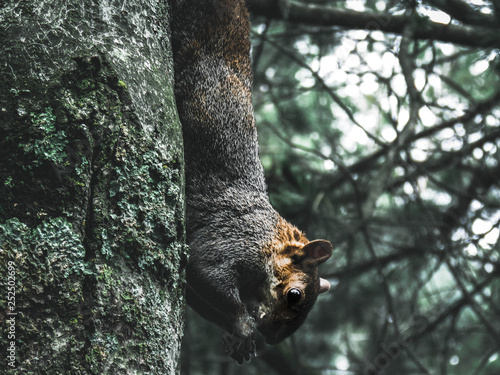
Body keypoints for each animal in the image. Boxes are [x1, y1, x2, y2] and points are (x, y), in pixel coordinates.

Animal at [171, 0, 332, 364]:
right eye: (294, 295)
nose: (273, 338)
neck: (271, 241)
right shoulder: (234, 239)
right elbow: (204, 270)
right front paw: (243, 326)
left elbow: (196, 294)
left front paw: (237, 339)